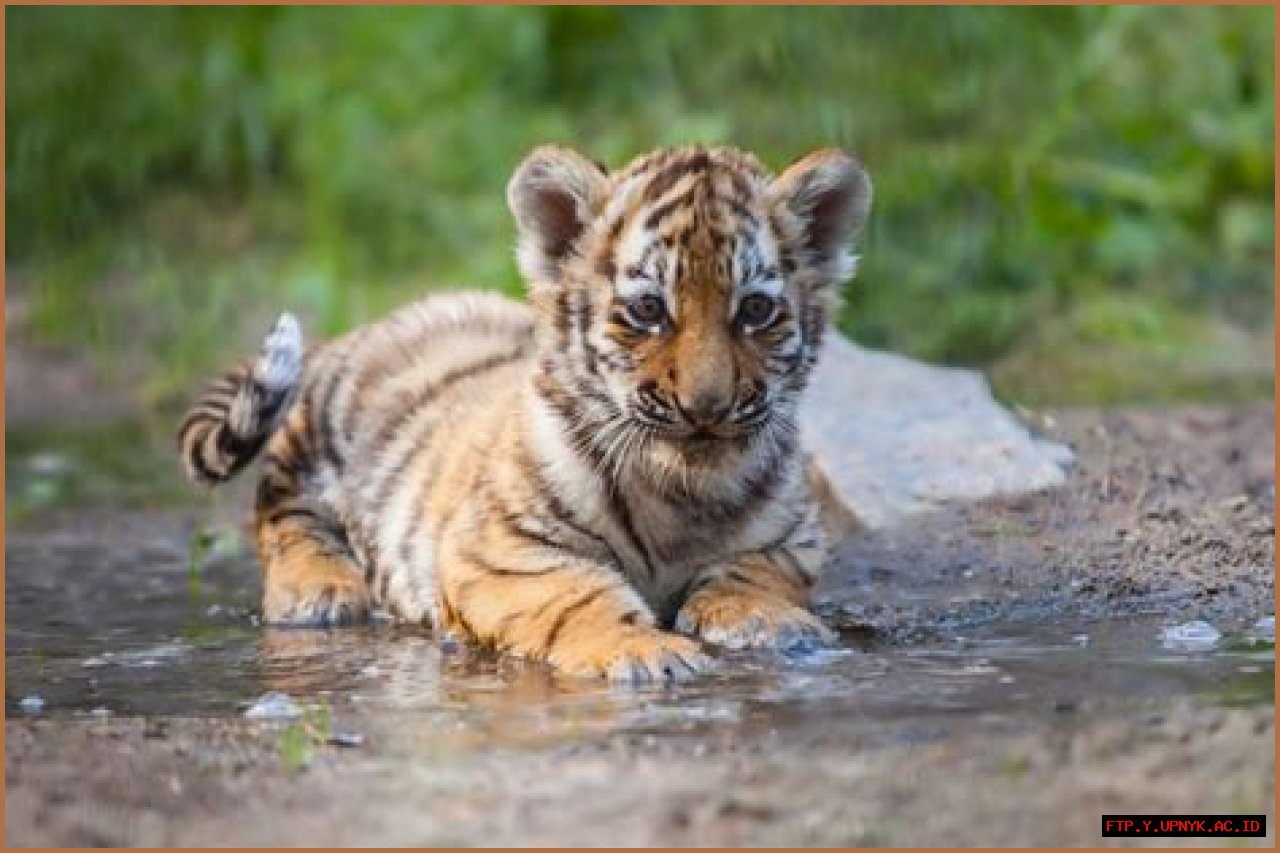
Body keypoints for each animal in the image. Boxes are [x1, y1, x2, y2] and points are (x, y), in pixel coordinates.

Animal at [177, 144, 872, 683]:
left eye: (755, 310)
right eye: (648, 309)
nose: (707, 408)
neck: (681, 490)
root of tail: (380, 321)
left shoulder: (792, 537)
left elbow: (753, 571)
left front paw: (769, 623)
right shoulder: (503, 550)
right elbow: (579, 597)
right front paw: (646, 652)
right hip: (318, 432)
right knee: (282, 509)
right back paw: (319, 590)